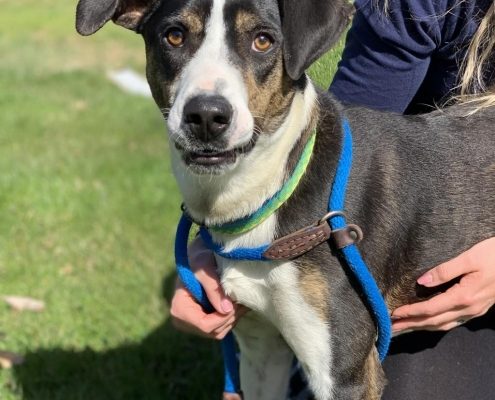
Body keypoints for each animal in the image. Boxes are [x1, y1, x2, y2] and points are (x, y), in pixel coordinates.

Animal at [75, 1, 494, 398]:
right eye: (174, 36)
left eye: (263, 41)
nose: (206, 116)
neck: (273, 190)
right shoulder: (260, 347)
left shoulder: (344, 374)